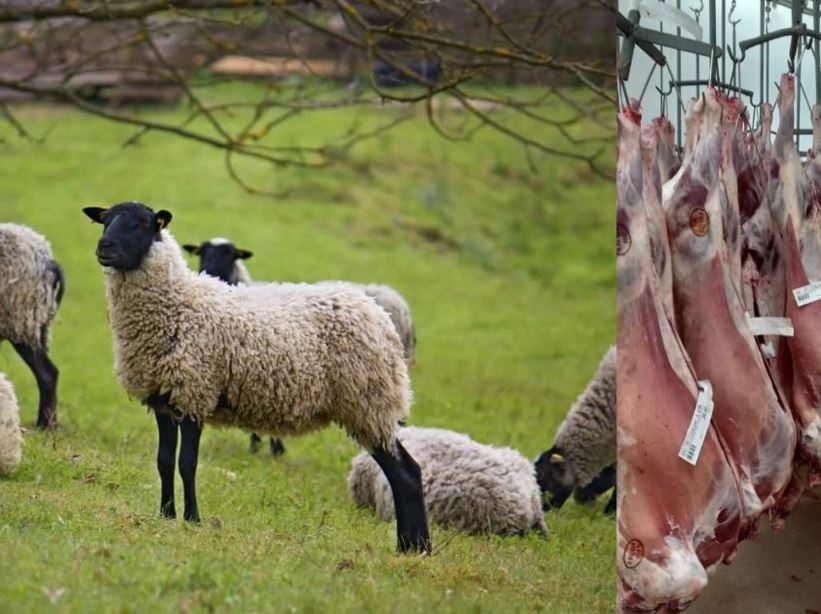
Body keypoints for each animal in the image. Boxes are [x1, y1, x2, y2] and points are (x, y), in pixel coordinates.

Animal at [182, 237, 417, 456]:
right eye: (201, 252)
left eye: (230, 255)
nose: (208, 271)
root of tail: (399, 307)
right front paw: (263, 446)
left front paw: (271, 448)